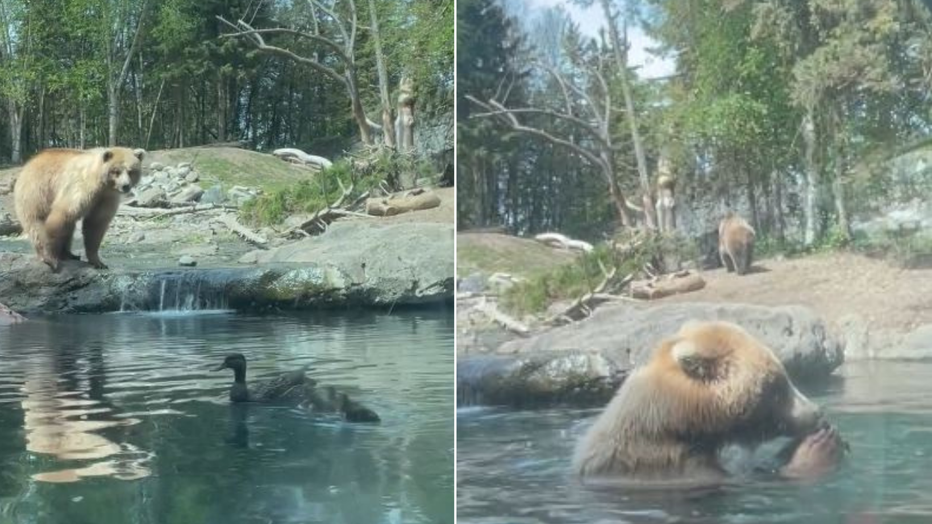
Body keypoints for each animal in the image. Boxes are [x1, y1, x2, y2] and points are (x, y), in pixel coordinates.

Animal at [13, 146, 146, 272]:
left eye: (131, 171)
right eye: (116, 171)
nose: (125, 186)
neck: (102, 185)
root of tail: (32, 160)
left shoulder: (105, 199)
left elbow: (95, 225)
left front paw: (98, 262)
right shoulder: (81, 188)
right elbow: (63, 214)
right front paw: (51, 256)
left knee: (68, 228)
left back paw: (70, 254)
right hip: (37, 191)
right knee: (37, 222)